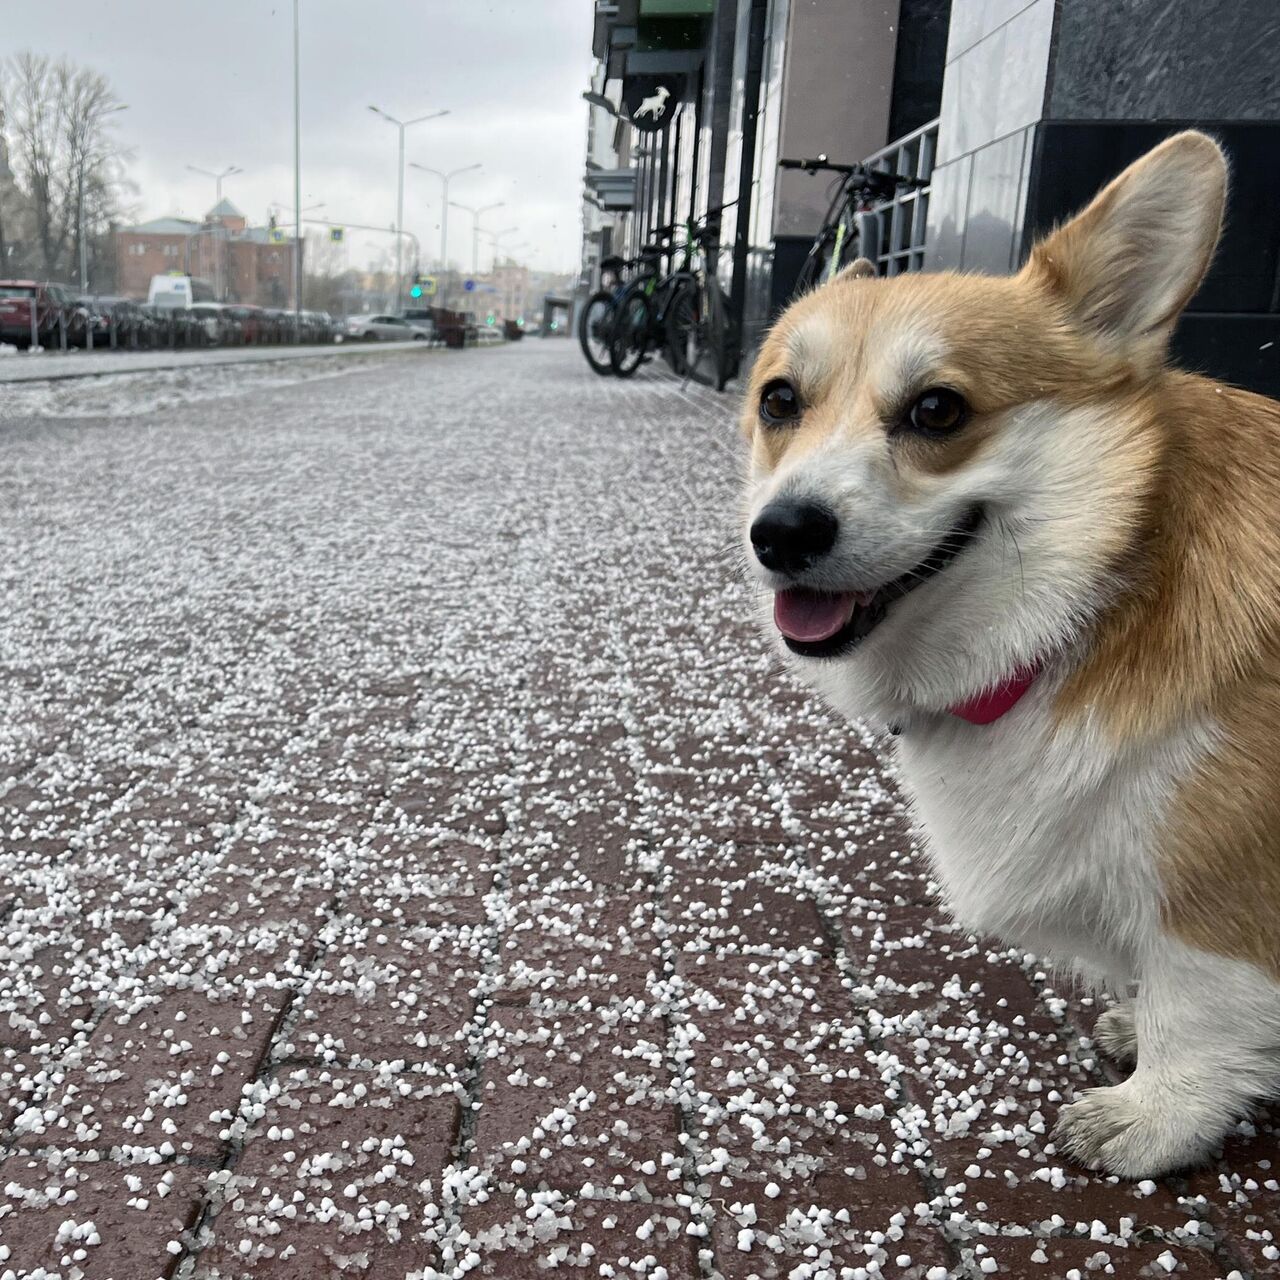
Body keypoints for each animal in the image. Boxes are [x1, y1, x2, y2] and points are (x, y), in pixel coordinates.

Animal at [737, 132, 1280, 1177]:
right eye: (780, 401)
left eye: (939, 412)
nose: (779, 533)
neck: (1098, 604)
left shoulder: (1221, 873)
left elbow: (1199, 999)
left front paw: (1157, 1114)